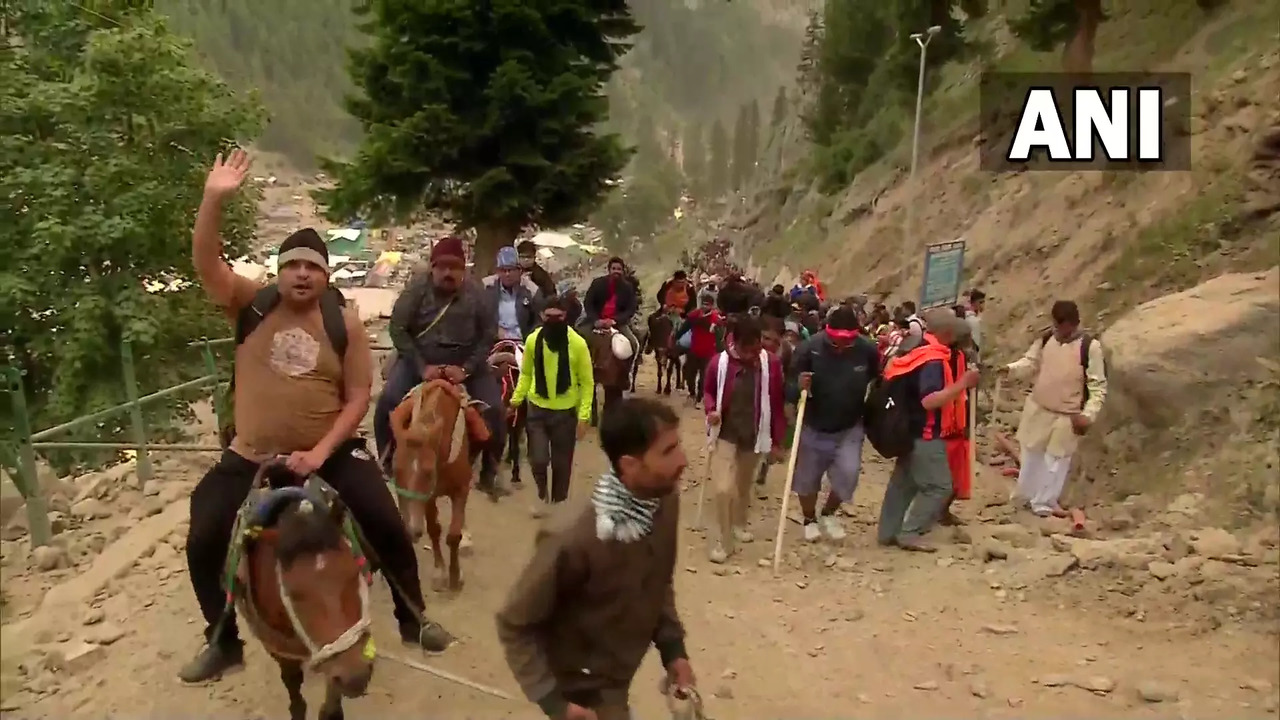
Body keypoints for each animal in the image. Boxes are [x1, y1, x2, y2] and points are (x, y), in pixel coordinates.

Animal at [386, 376, 486, 589]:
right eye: (396, 469)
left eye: (428, 472)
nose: (412, 530)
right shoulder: (428, 497)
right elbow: (434, 530)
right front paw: (440, 571)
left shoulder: (460, 490)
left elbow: (453, 535)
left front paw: (455, 575)